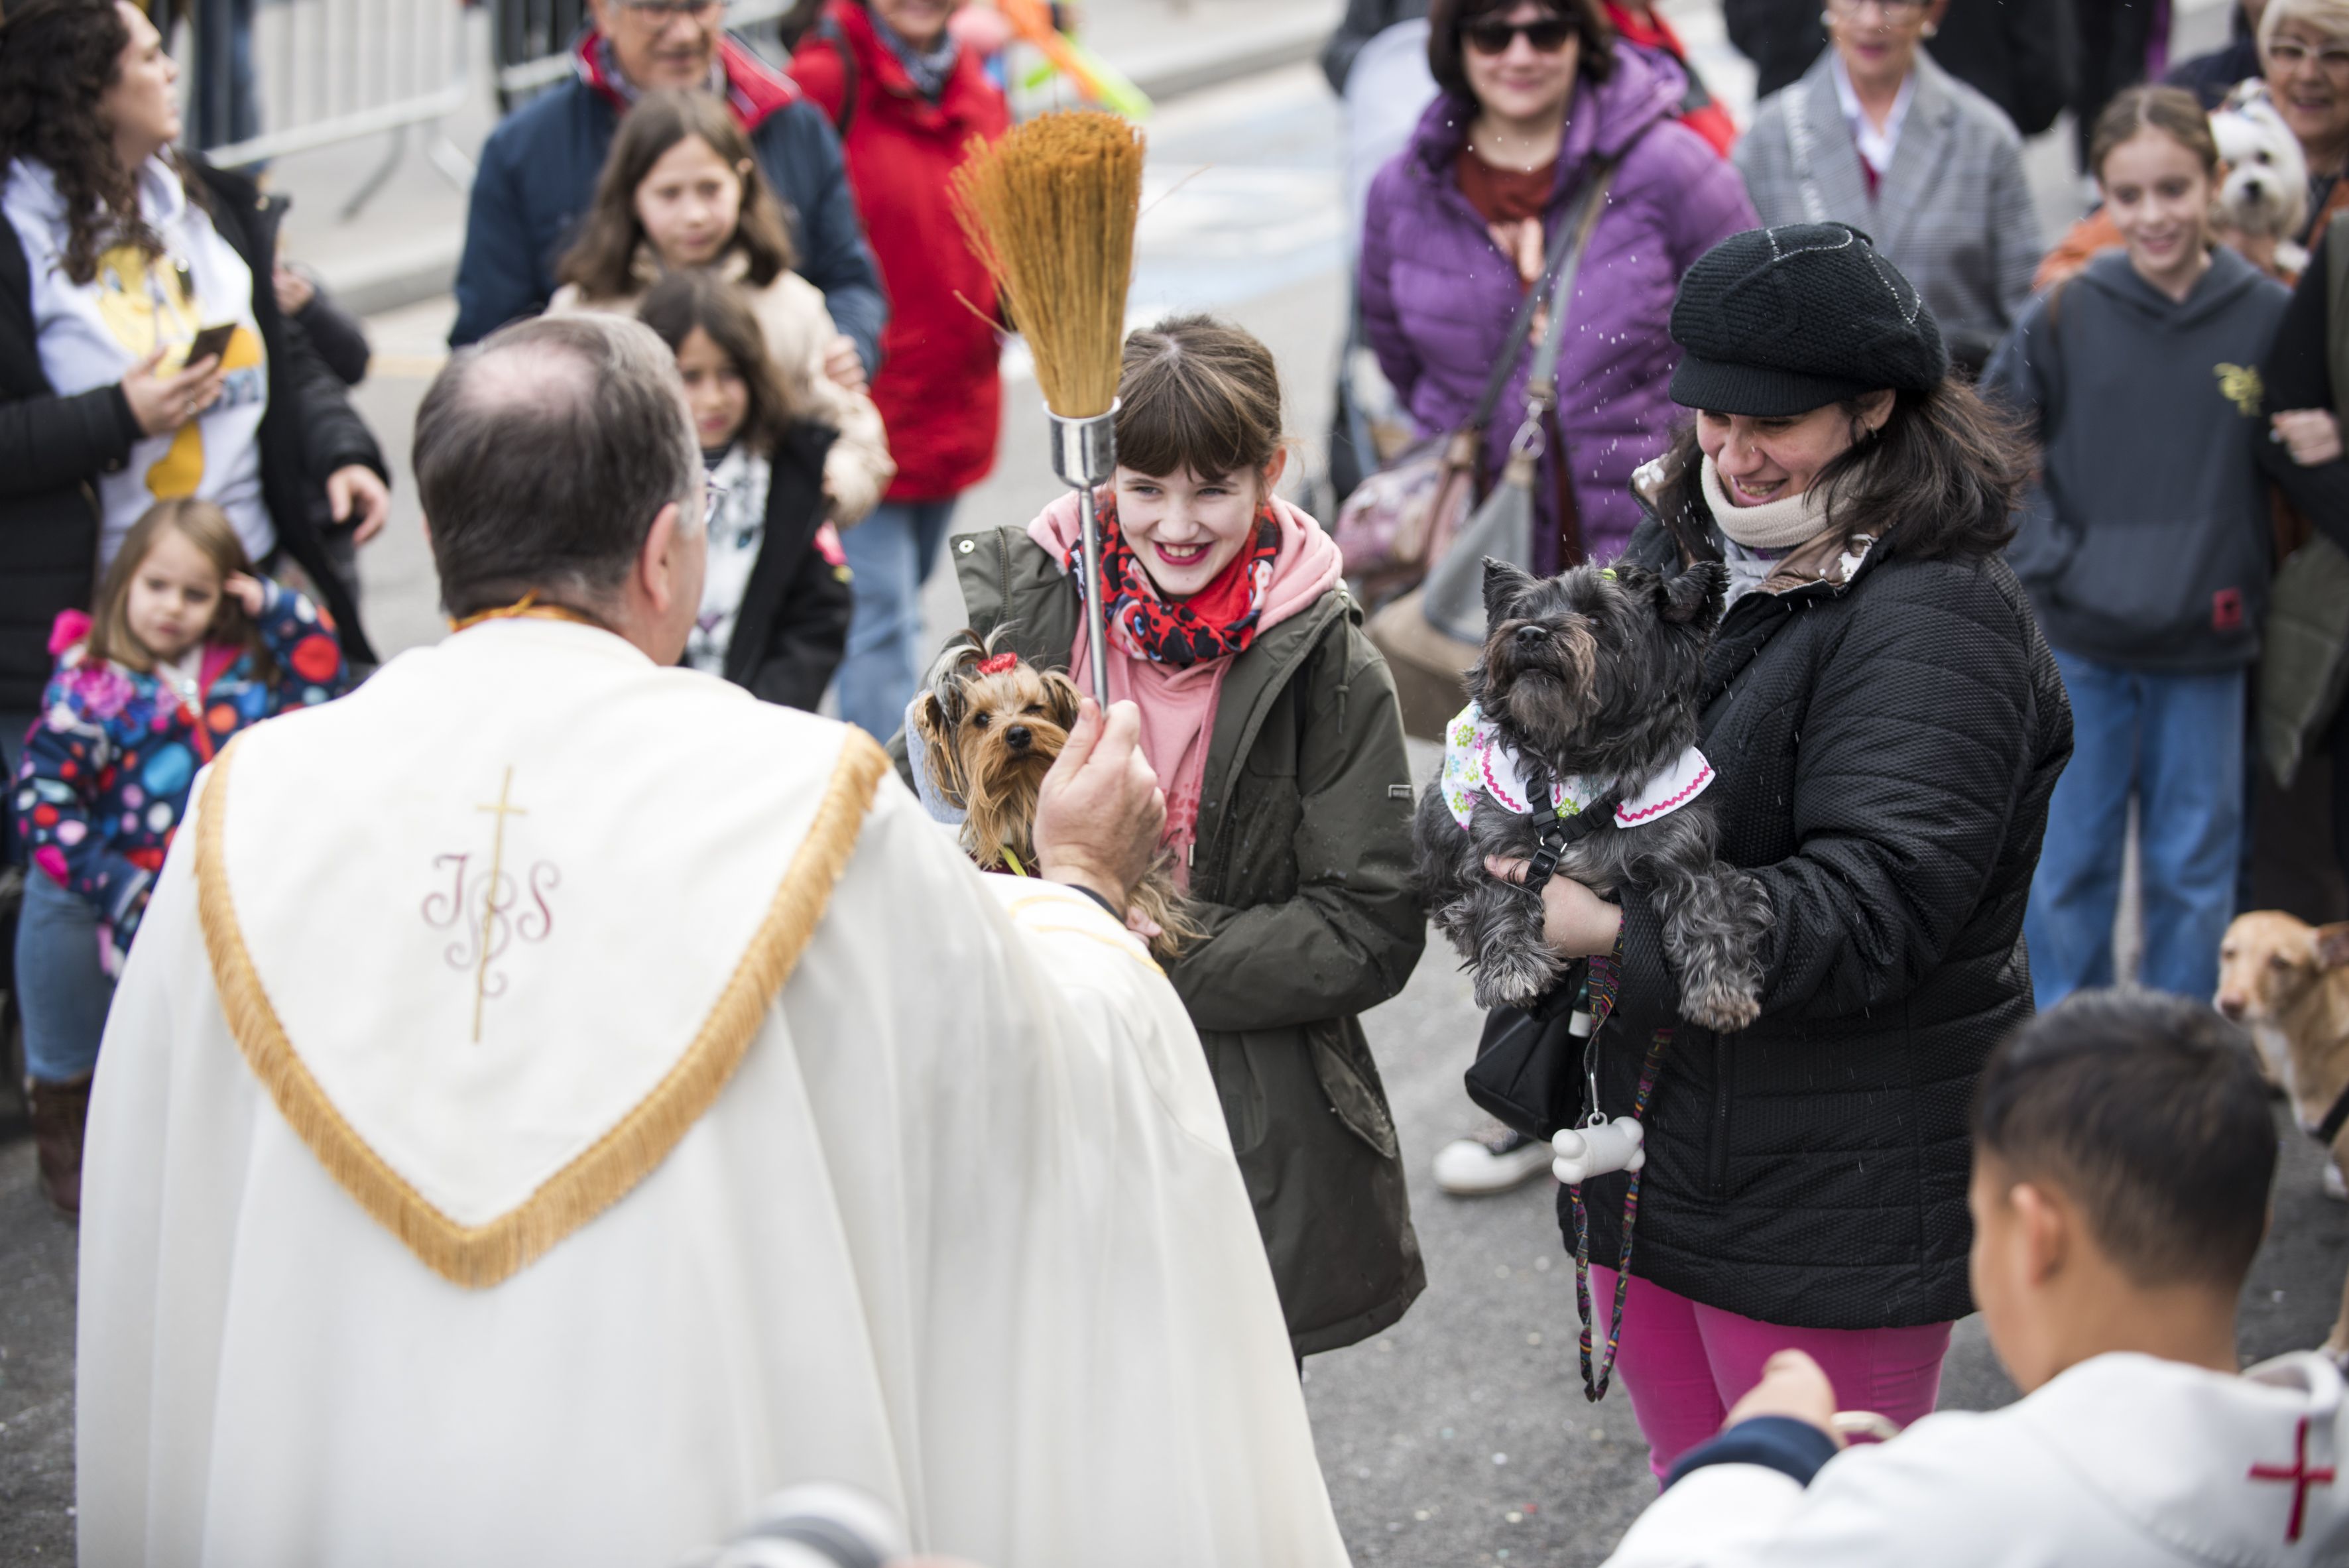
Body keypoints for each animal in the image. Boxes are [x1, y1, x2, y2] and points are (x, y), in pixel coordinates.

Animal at [1409, 561, 1766, 1028]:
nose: (1529, 633)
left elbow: (1712, 903)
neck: (1580, 773)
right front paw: (1512, 967)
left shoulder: (1686, 854)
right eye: (1523, 612)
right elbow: (1497, 897)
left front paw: (1723, 986)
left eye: (1597, 619)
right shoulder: (1493, 851)